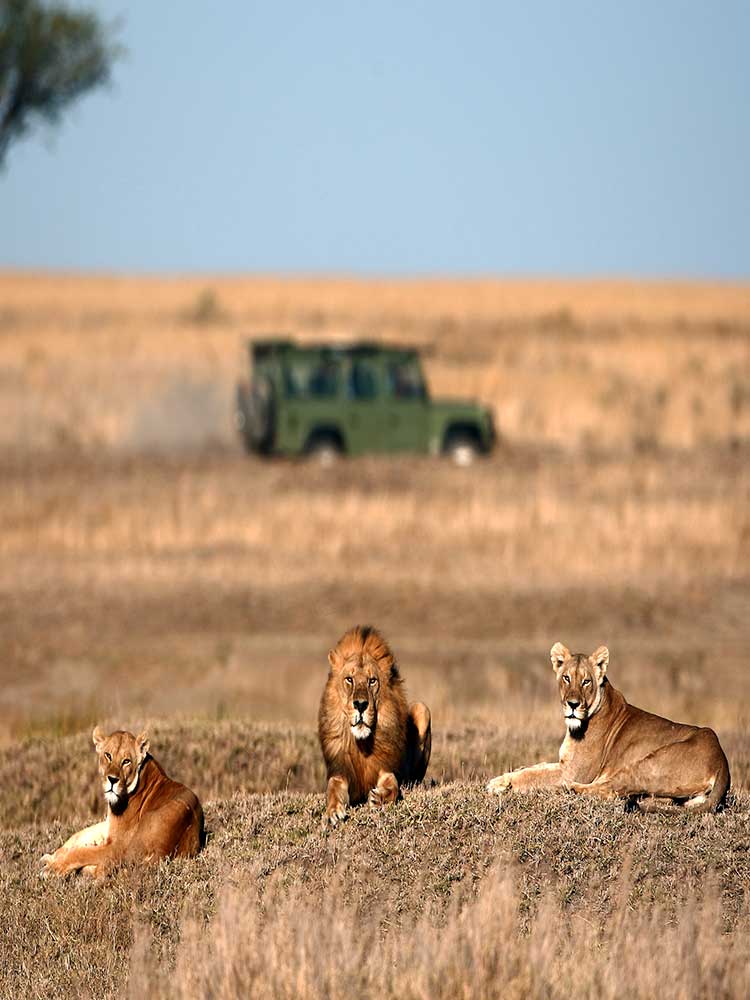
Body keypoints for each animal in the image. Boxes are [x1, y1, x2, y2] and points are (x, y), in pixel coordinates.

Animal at [41, 726, 204, 878]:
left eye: (126, 761)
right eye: (108, 755)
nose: (112, 780)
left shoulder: (117, 844)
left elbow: (82, 852)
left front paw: (53, 868)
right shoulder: (108, 826)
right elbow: (80, 834)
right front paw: (52, 856)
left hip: (127, 849)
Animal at [318, 625, 432, 826]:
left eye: (372, 681)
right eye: (349, 679)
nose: (361, 705)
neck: (362, 744)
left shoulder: (386, 768)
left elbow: (393, 786)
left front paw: (379, 798)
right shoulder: (340, 770)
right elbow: (333, 789)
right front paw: (333, 811)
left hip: (422, 709)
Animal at [487, 643, 730, 813]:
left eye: (586, 681)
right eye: (566, 678)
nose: (572, 704)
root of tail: (722, 762)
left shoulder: (573, 771)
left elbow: (534, 776)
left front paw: (500, 785)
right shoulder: (564, 763)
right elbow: (536, 767)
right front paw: (504, 778)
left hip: (646, 764)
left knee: (612, 790)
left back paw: (567, 789)